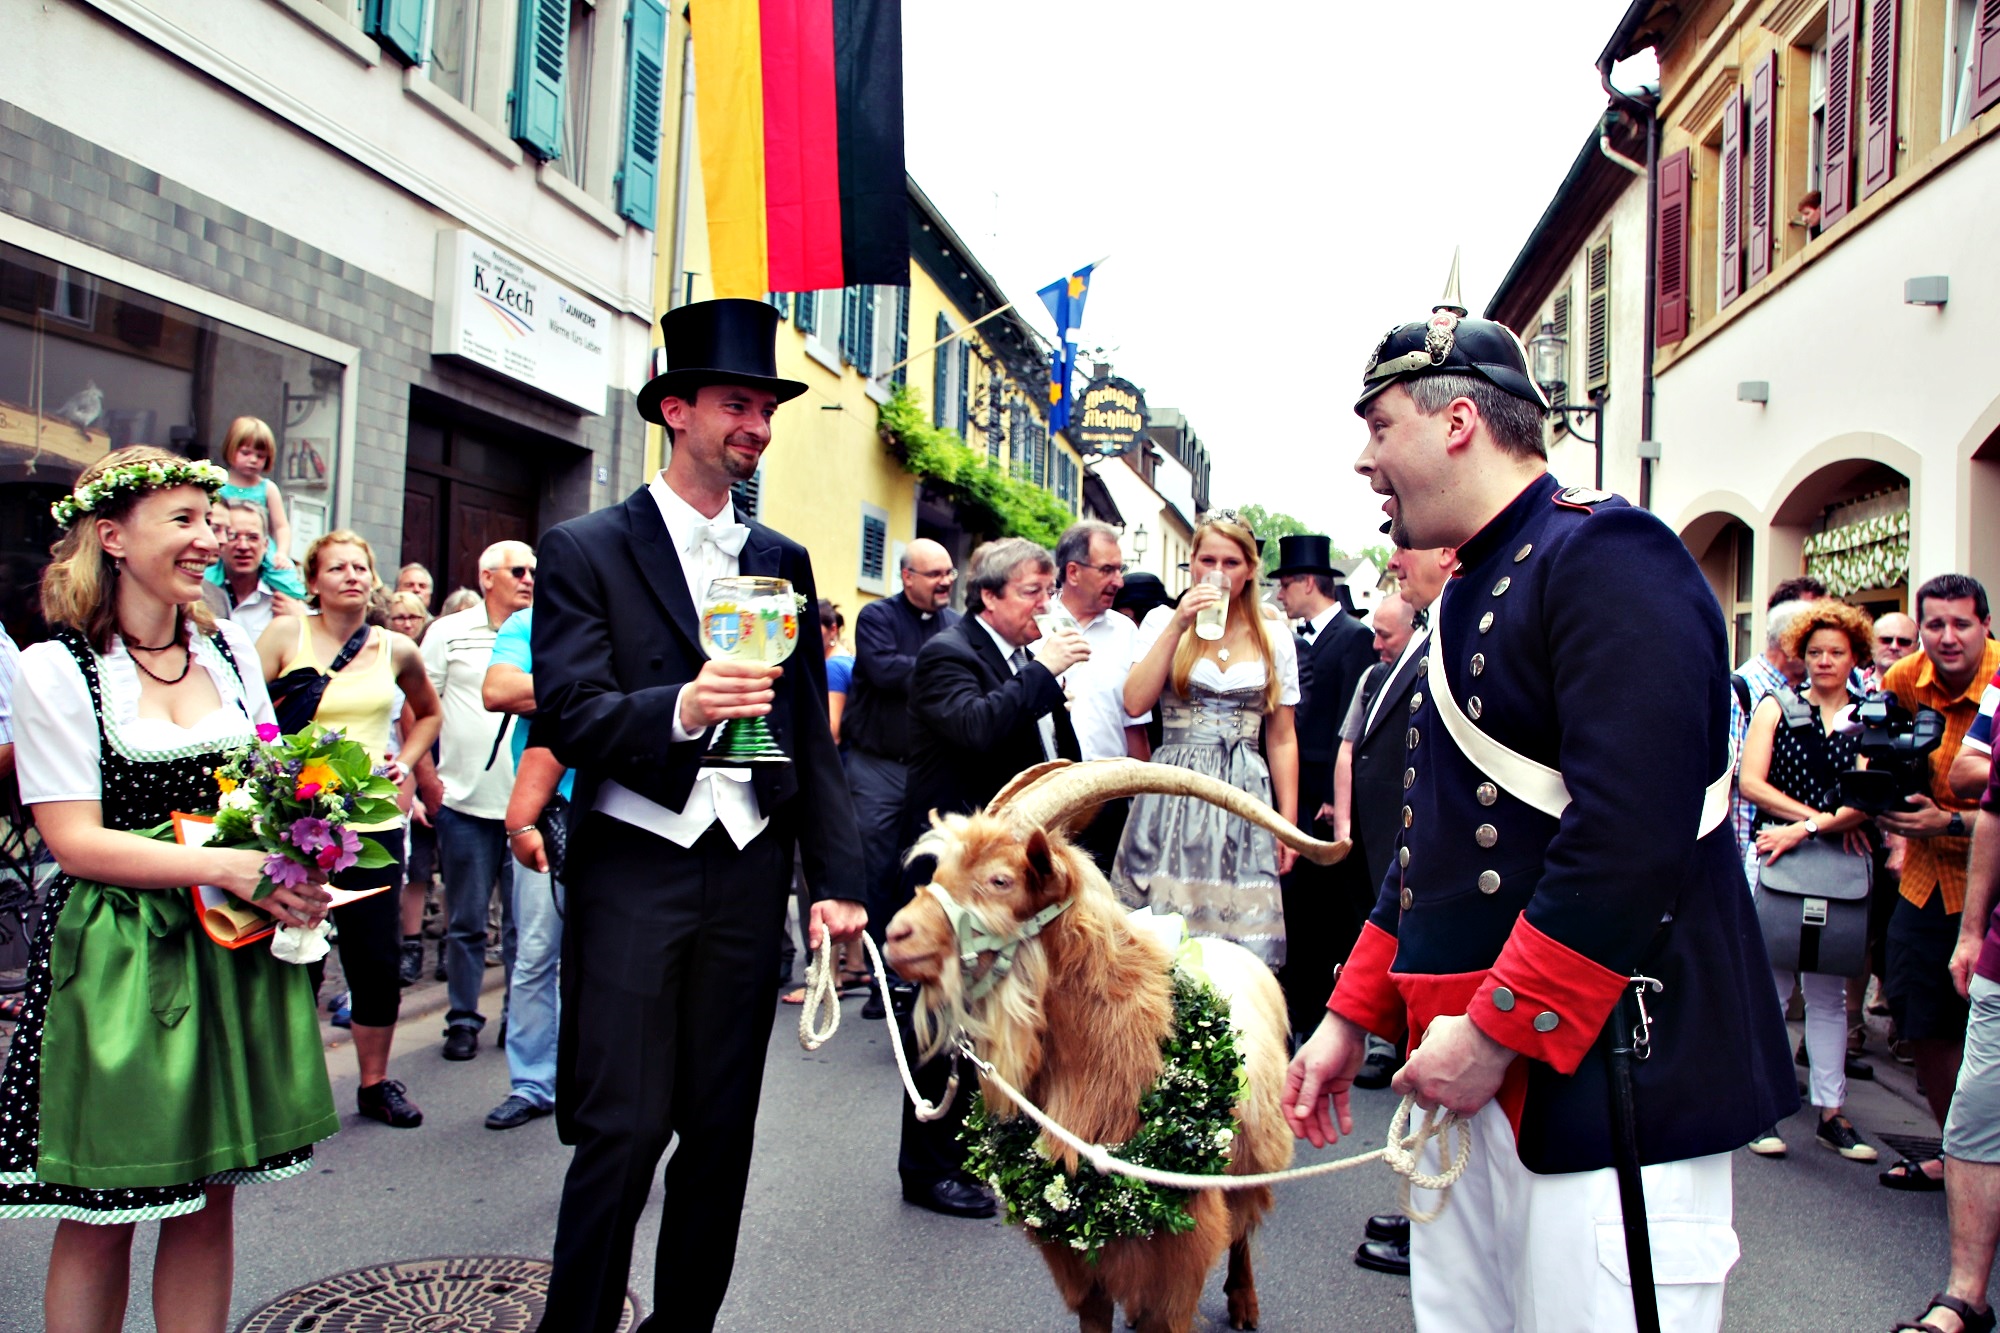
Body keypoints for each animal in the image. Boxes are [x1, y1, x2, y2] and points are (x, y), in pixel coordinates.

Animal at [888, 780, 1312, 1328]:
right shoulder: (1077, 1255)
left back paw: (1244, 1304)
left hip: (1252, 1157)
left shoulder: (1181, 1255)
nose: (896, 935)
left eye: (1000, 879)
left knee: (1243, 1229)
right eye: (940, 870)